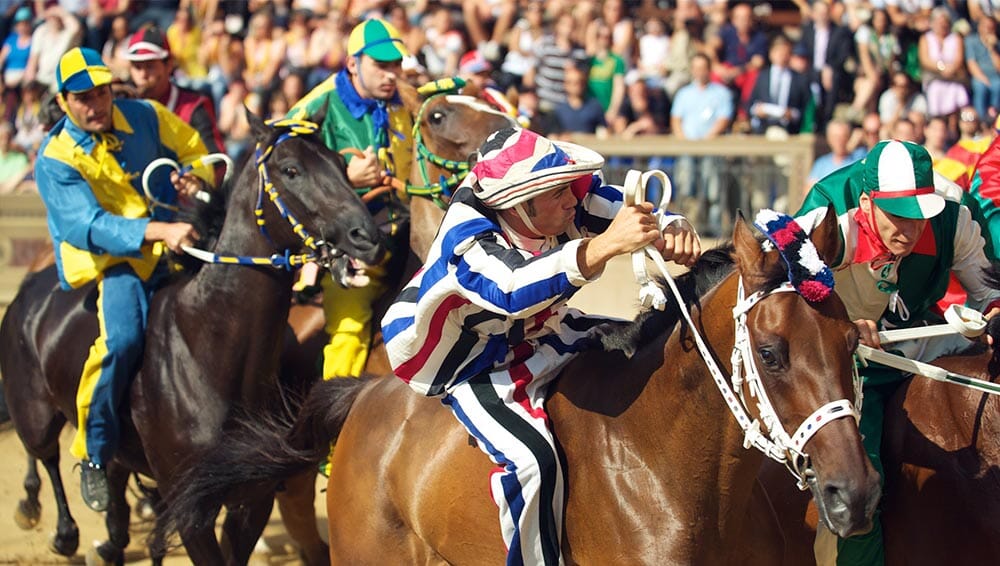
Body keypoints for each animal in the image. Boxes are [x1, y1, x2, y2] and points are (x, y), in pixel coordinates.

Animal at [0, 112, 384, 566]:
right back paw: (58, 527)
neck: (208, 352)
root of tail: (30, 288)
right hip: (35, 413)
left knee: (112, 476)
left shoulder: (252, 498)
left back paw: (110, 538)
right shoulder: (190, 509)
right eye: (291, 169)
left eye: (341, 165)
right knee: (47, 457)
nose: (367, 236)